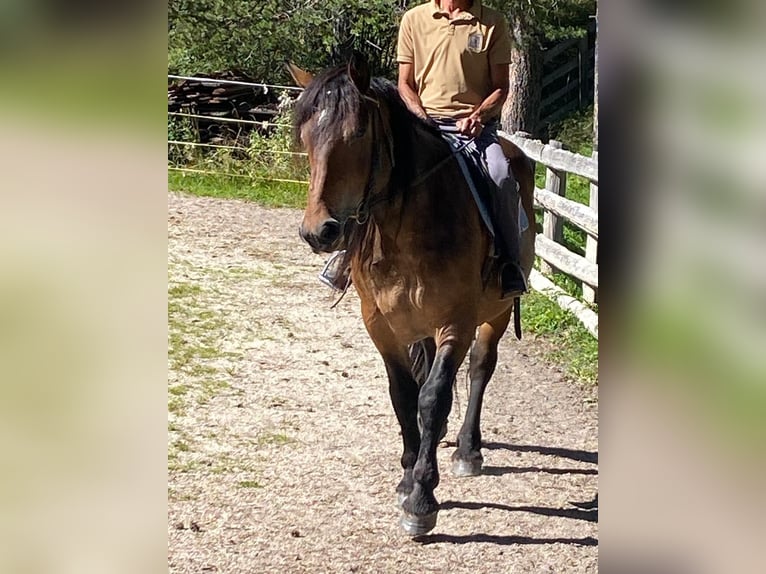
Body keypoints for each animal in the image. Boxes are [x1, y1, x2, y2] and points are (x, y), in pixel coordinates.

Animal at [288, 53, 536, 536]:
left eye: (357, 134)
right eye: (305, 136)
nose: (318, 232)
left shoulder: (456, 323)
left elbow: (434, 397)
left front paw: (422, 499)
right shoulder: (380, 324)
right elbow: (404, 395)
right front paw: (407, 477)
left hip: (495, 313)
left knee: (481, 368)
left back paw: (467, 450)